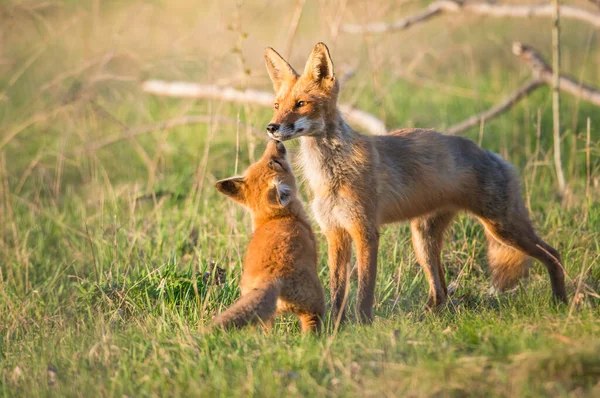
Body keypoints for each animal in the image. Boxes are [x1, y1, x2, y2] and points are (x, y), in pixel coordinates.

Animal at [214, 140, 326, 332]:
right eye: (277, 162)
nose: (276, 141)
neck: (274, 218)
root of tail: (272, 276)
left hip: (263, 315)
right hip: (314, 306)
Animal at [262, 42, 568, 324]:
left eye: (301, 104)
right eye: (277, 105)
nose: (271, 127)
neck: (330, 173)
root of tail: (491, 153)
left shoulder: (365, 231)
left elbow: (364, 290)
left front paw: (363, 326)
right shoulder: (335, 232)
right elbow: (337, 291)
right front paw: (335, 328)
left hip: (503, 227)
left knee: (554, 255)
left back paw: (561, 303)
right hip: (424, 240)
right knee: (440, 291)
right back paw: (426, 318)